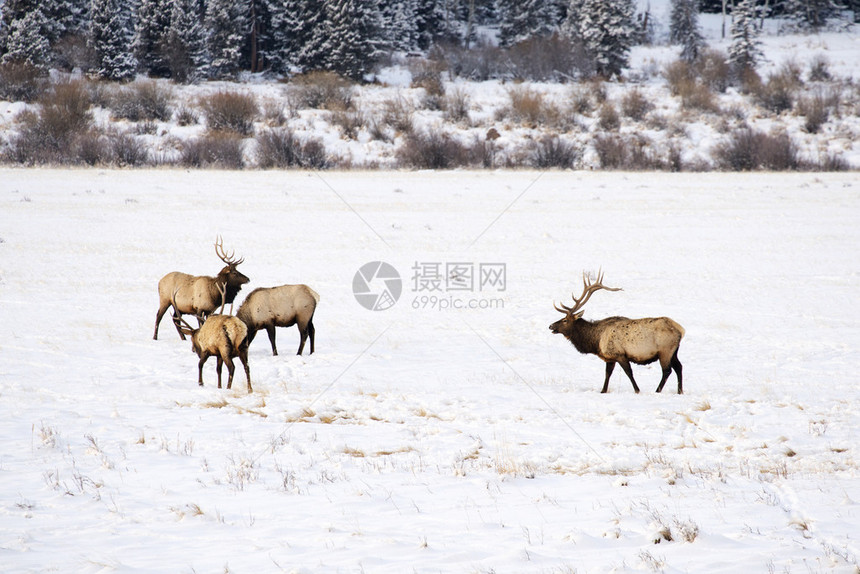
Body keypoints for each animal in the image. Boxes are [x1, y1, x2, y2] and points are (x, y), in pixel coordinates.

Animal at [552, 274, 684, 396]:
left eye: (564, 320)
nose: (551, 326)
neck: (596, 341)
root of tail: (681, 330)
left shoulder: (619, 354)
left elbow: (628, 372)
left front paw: (637, 390)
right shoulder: (610, 358)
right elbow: (607, 374)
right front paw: (603, 391)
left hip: (665, 350)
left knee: (667, 370)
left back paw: (657, 390)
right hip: (673, 351)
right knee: (679, 367)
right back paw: (680, 391)